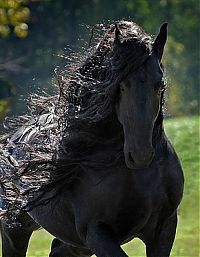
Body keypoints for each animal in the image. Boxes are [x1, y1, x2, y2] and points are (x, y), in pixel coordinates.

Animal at [0, 20, 184, 256]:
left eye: (160, 85)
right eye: (121, 86)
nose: (140, 154)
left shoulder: (164, 228)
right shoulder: (96, 232)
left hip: (74, 243)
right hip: (15, 231)